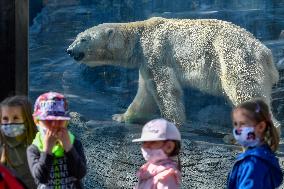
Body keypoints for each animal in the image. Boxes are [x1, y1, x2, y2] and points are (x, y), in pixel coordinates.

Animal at [66, 17, 280, 127]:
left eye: (83, 39)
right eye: (77, 36)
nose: (69, 50)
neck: (139, 35)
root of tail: (265, 52)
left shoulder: (155, 52)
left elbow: (165, 88)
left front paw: (171, 121)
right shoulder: (145, 62)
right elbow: (144, 95)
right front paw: (120, 117)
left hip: (234, 57)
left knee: (243, 89)